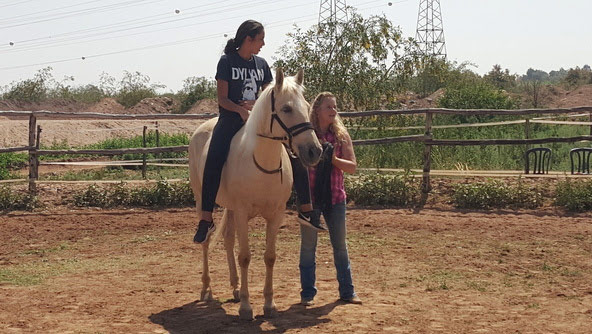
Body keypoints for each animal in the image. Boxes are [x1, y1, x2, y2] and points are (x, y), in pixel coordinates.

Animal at [188, 68, 322, 320]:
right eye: (286, 109)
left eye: (307, 105)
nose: (314, 151)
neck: (261, 161)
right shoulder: (242, 212)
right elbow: (245, 256)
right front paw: (246, 308)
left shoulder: (276, 214)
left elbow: (269, 257)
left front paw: (269, 305)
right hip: (202, 199)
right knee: (207, 239)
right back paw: (206, 289)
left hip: (229, 207)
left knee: (228, 239)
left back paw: (235, 287)